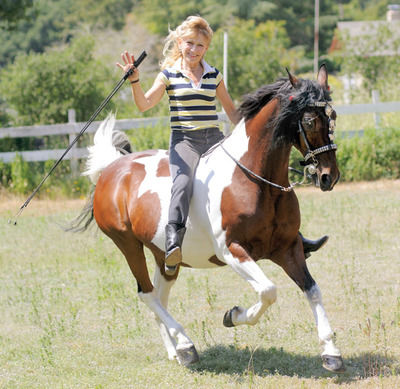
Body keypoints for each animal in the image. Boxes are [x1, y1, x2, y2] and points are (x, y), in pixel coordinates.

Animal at [74, 65, 344, 372]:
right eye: (309, 121)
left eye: (333, 116)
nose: (329, 176)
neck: (254, 178)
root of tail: (111, 169)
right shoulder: (232, 251)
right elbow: (268, 290)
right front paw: (233, 315)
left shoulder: (288, 248)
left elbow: (313, 290)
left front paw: (331, 352)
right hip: (128, 244)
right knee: (147, 294)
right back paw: (186, 346)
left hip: (165, 256)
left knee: (159, 296)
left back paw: (176, 351)